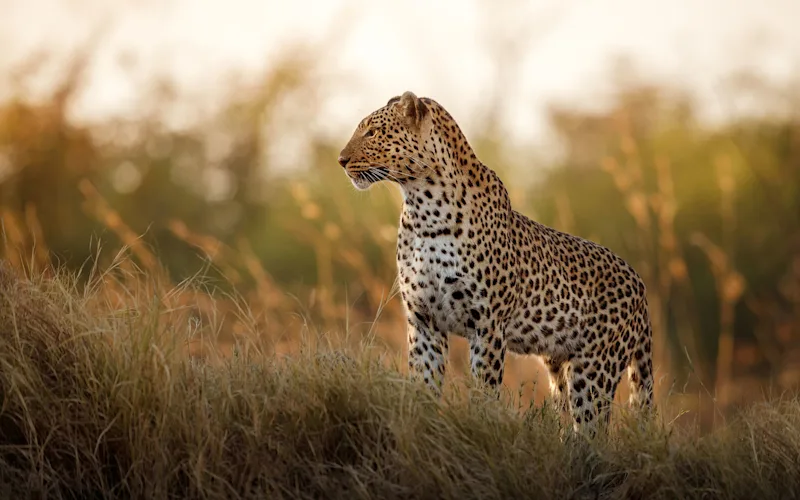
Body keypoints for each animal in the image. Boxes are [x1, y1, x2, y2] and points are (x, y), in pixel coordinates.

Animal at [337, 91, 654, 433]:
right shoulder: (423, 321)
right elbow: (424, 385)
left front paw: (479, 427)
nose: (341, 160)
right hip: (559, 367)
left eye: (372, 132)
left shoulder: (486, 324)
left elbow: (484, 391)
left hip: (595, 369)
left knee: (592, 430)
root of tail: (639, 283)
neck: (423, 207)